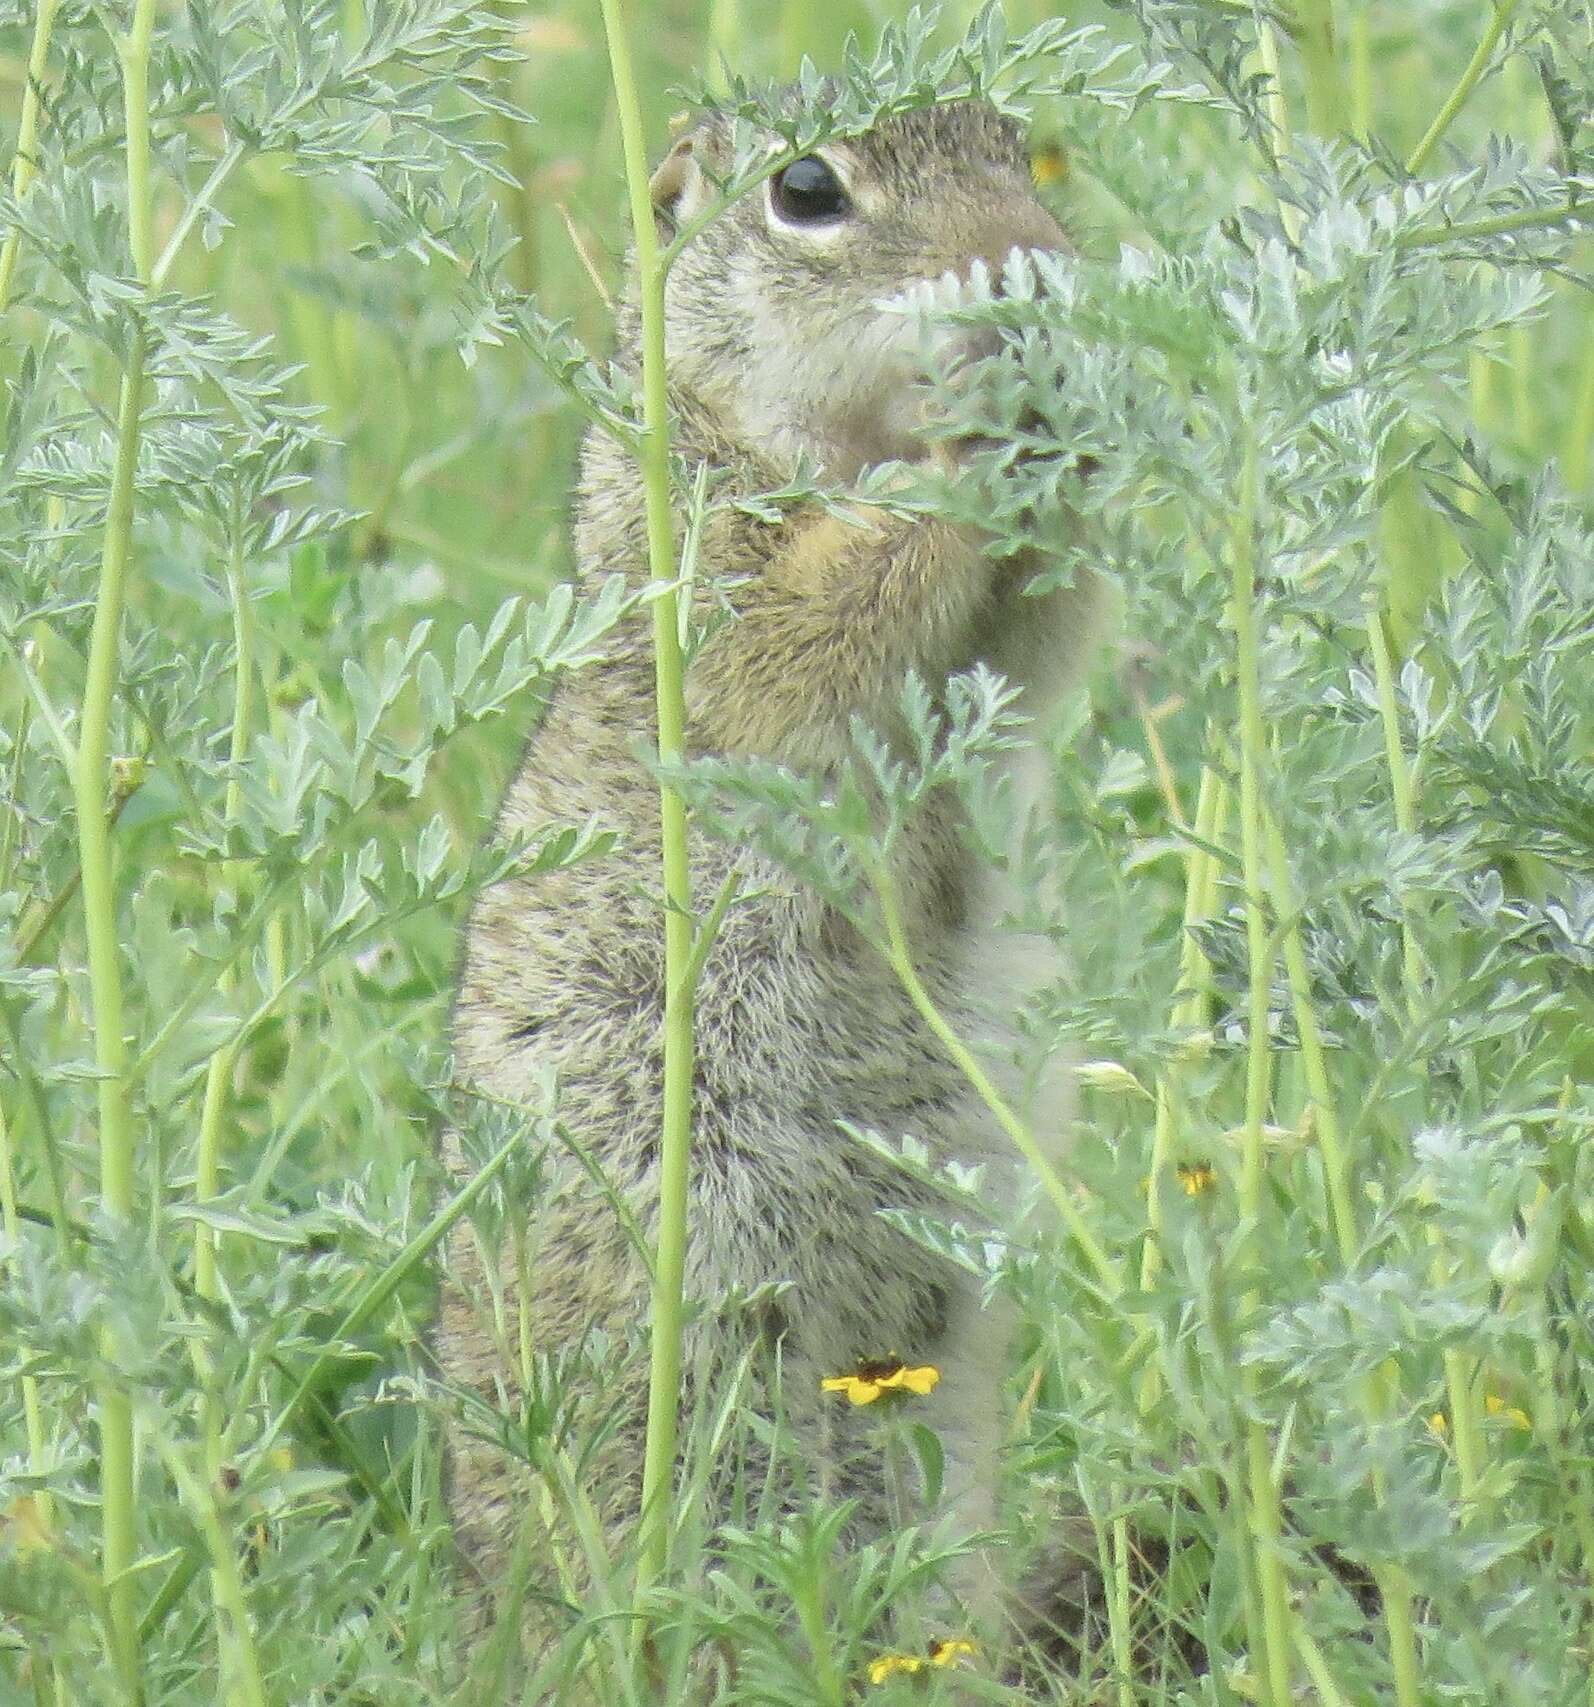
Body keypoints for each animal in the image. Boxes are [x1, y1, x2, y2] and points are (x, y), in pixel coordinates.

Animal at [443, 96, 1105, 1666]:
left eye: (1021, 149)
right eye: (806, 189)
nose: (1040, 275)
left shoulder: (1014, 645)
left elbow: (1047, 636)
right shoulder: (700, 554)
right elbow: (817, 608)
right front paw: (961, 445)